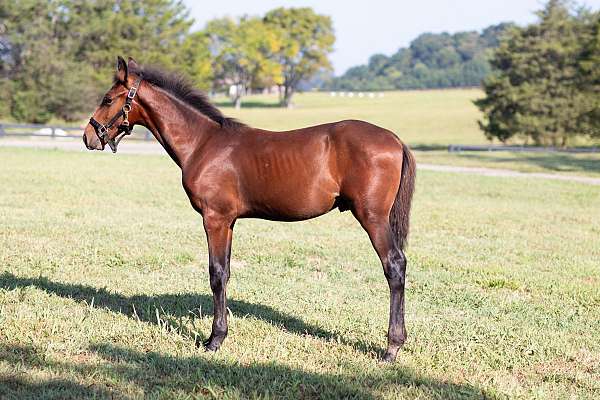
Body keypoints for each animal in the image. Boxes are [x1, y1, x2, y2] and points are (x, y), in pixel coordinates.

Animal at [82, 57, 414, 362]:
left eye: (108, 99)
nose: (88, 136)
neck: (203, 143)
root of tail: (395, 139)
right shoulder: (228, 221)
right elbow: (226, 272)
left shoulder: (214, 219)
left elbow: (216, 274)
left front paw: (214, 340)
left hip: (372, 218)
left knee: (394, 265)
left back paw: (391, 348)